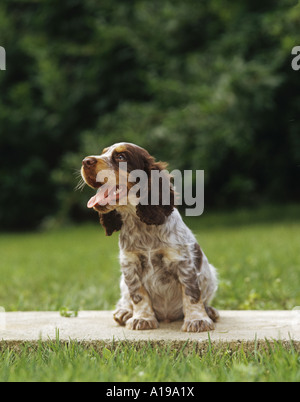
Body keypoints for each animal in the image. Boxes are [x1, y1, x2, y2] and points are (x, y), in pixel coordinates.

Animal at [81, 143, 218, 332]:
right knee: (126, 299)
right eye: (103, 153)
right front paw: (142, 318)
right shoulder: (130, 264)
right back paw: (124, 312)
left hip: (210, 274)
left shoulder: (183, 261)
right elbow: (138, 295)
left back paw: (210, 311)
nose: (85, 161)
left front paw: (197, 320)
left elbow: (191, 293)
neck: (140, 224)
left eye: (121, 157)